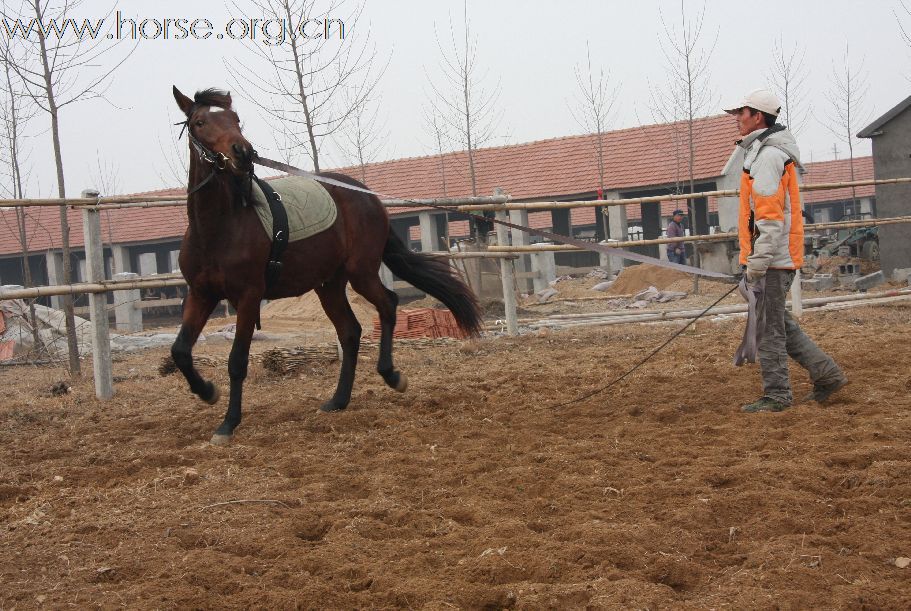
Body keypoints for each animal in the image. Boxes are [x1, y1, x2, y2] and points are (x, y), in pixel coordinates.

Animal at [172, 87, 484, 444]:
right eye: (200, 122)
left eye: (235, 119)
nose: (243, 153)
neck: (220, 228)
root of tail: (366, 194)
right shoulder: (201, 294)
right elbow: (180, 350)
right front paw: (208, 392)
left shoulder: (249, 297)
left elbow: (237, 360)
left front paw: (228, 424)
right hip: (329, 284)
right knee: (350, 331)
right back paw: (338, 400)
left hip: (361, 272)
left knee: (388, 304)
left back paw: (391, 376)